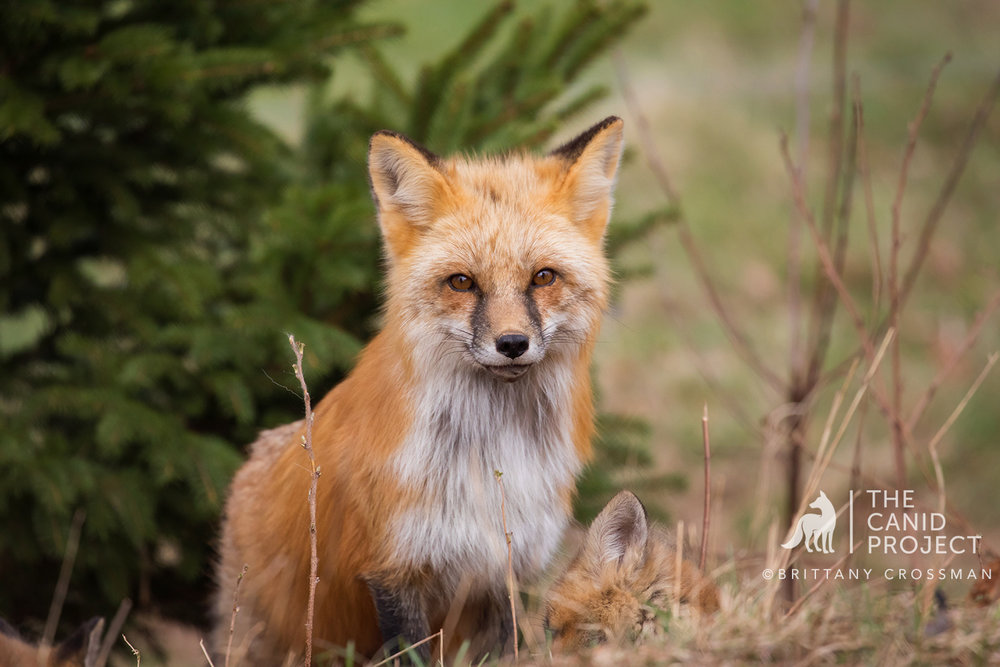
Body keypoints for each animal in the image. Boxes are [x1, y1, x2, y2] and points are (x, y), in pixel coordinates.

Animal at [214, 118, 620, 664]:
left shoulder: (510, 567)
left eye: (543, 277)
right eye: (461, 282)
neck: (489, 452)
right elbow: (410, 651)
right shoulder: (392, 568)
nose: (513, 344)